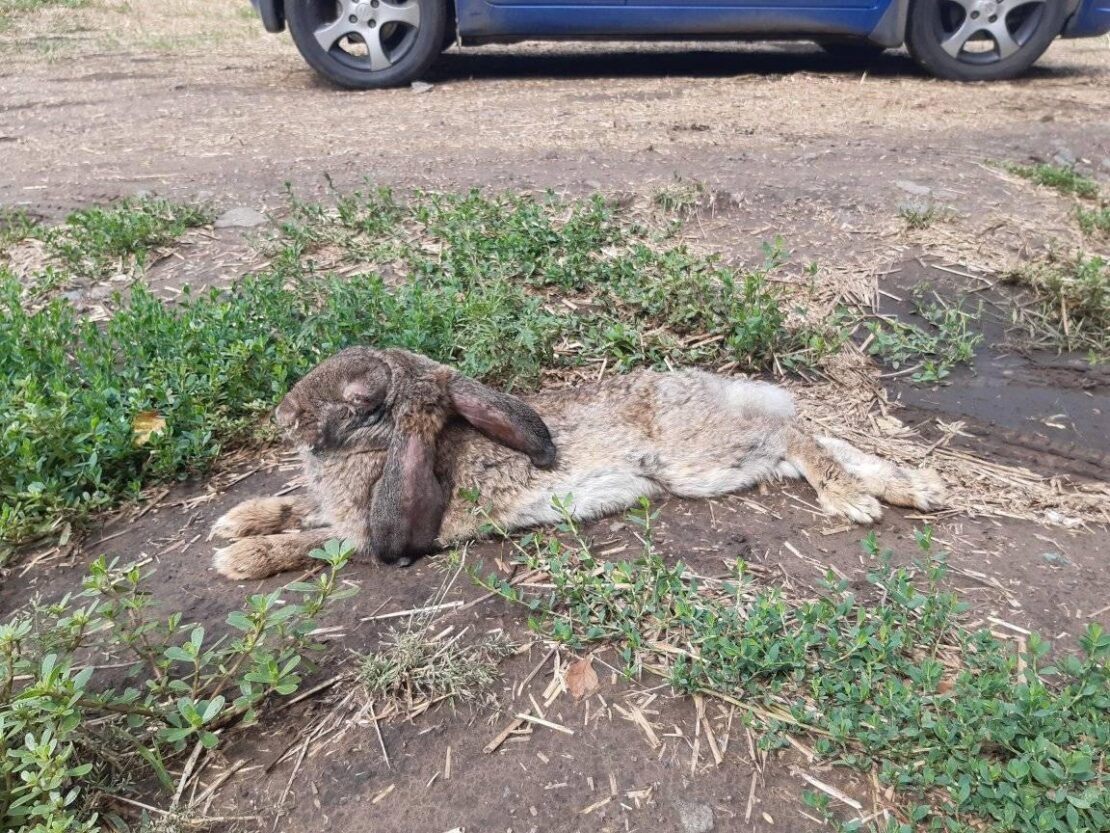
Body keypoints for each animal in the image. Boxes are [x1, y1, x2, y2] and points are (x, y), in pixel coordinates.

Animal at [209, 346, 945, 581]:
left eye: (359, 400)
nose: (282, 415)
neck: (373, 448)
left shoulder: (370, 534)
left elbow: (310, 543)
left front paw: (237, 560)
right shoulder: (332, 506)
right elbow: (294, 506)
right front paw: (233, 524)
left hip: (696, 455)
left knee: (797, 435)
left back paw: (855, 500)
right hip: (727, 460)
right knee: (805, 438)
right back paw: (913, 487)